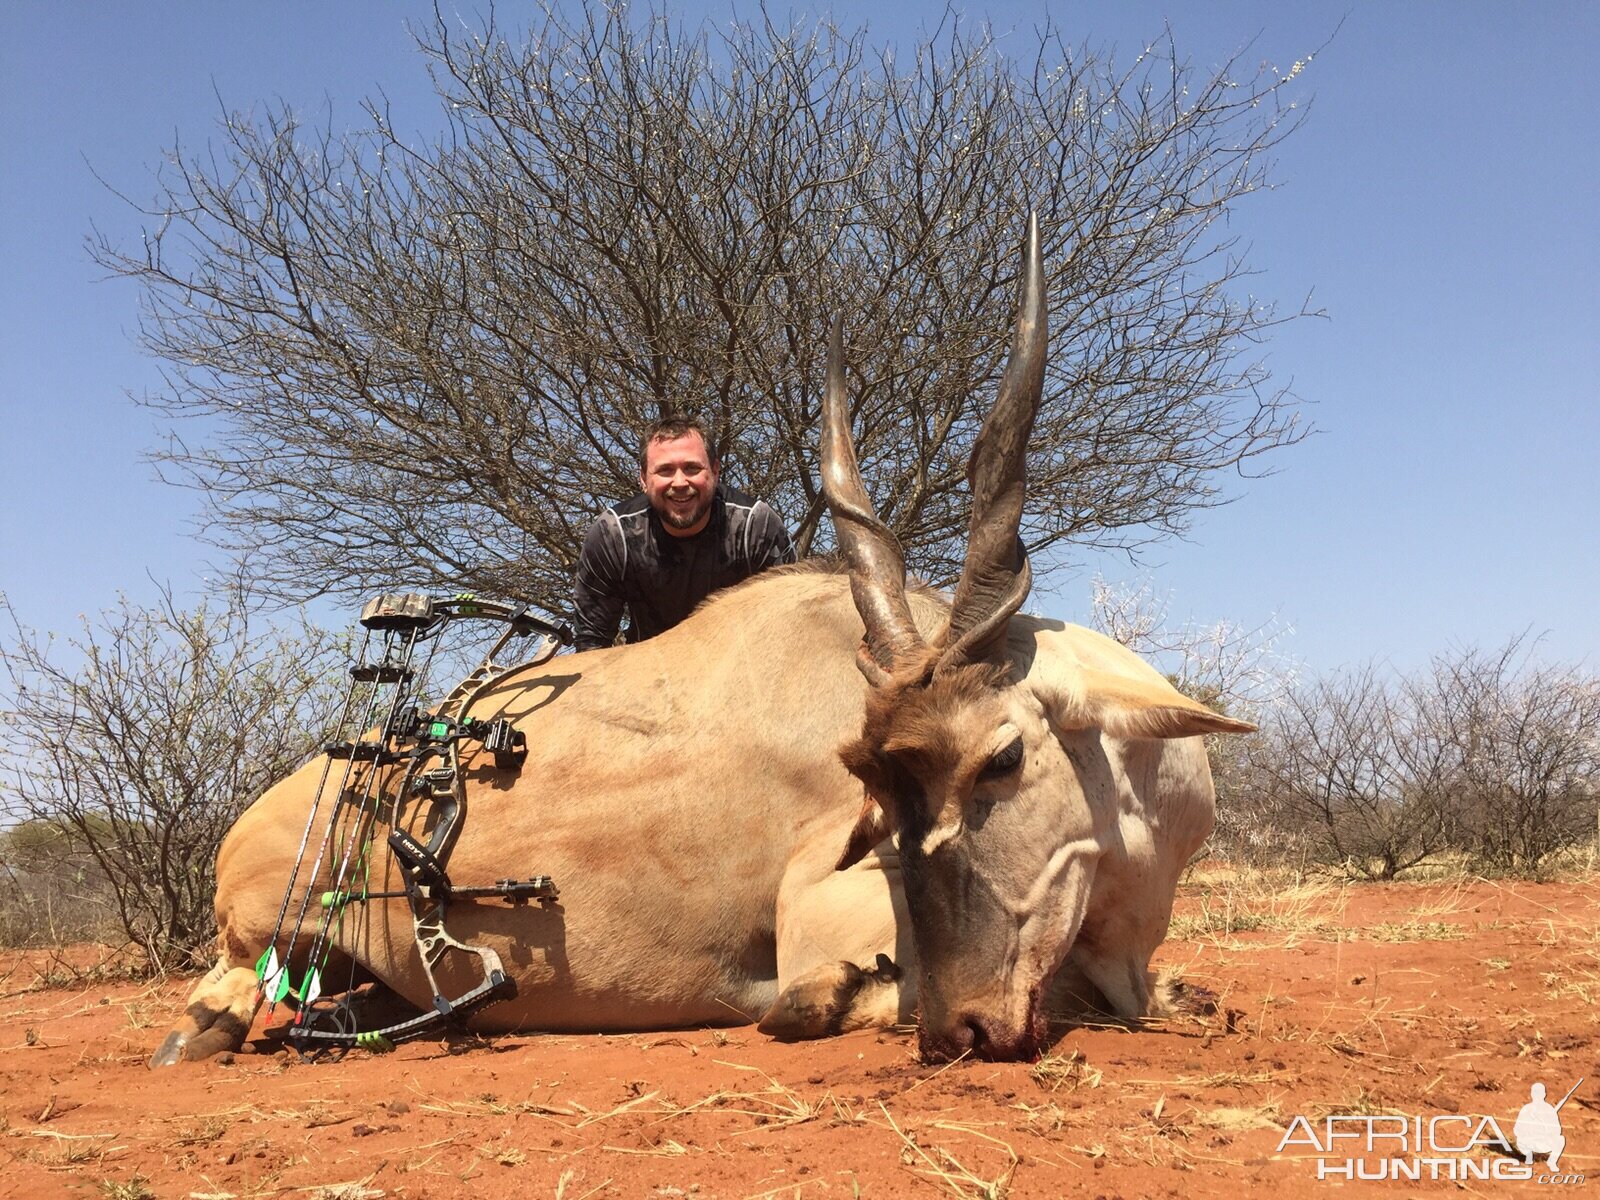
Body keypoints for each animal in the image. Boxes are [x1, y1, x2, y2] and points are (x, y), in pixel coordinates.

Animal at [152, 214, 1248, 1062]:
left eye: (1002, 759)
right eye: (876, 789)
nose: (965, 1030)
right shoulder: (818, 912)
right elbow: (815, 995)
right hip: (257, 939)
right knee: (225, 1000)